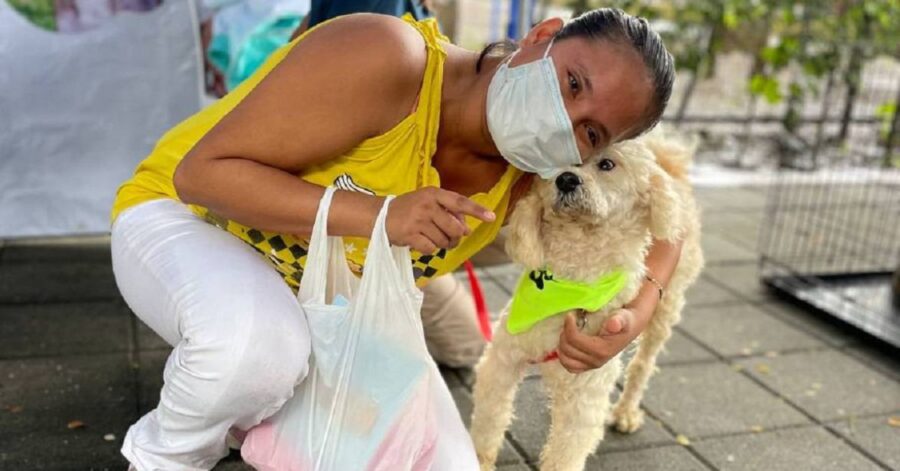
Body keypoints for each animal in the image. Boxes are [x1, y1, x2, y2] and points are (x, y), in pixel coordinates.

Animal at [468, 134, 708, 471]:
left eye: (607, 164)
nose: (566, 178)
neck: (572, 277)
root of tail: (669, 165)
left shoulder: (586, 393)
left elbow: (566, 452)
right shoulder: (502, 359)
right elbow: (489, 418)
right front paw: (477, 458)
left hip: (665, 310)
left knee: (642, 365)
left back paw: (625, 412)